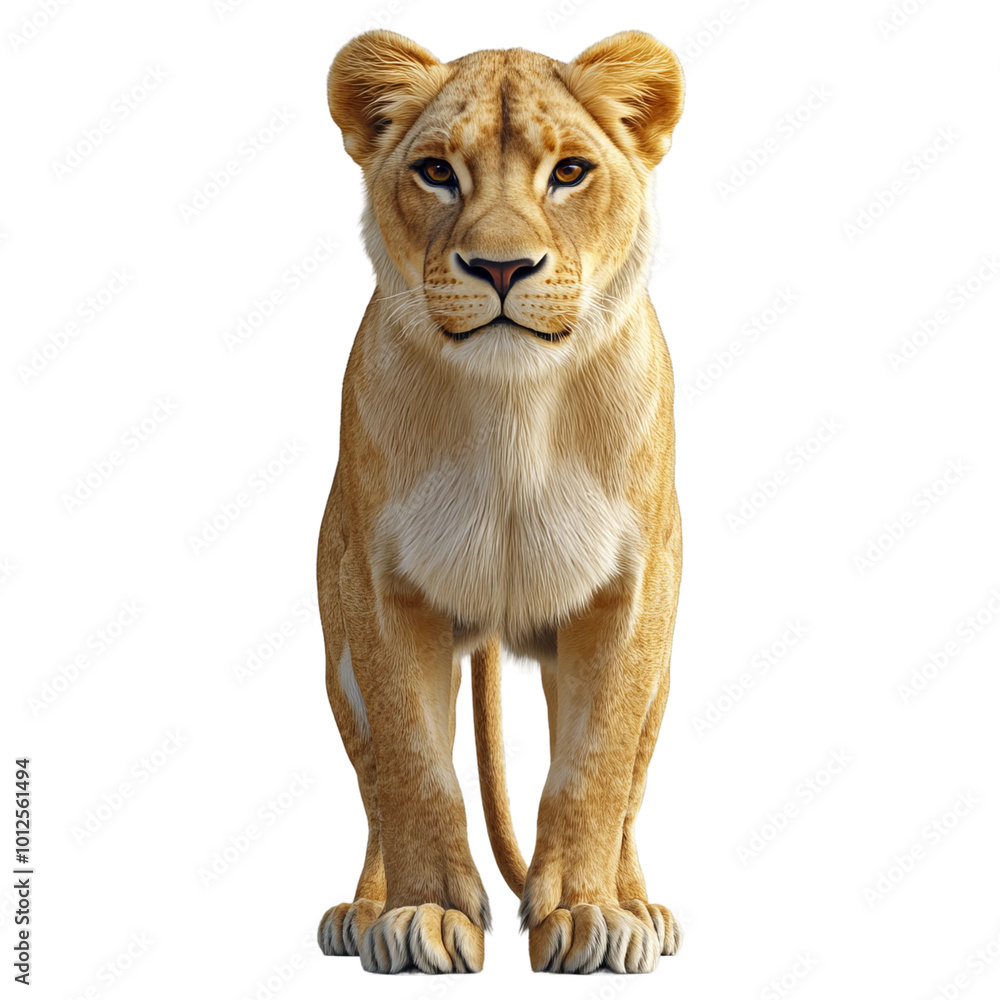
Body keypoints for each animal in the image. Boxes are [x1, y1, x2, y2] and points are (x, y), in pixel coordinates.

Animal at [315, 29, 685, 974]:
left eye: (570, 173)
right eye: (438, 172)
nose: (502, 267)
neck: (514, 407)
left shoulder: (630, 595)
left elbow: (594, 771)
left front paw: (589, 915)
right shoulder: (383, 591)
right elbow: (414, 771)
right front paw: (425, 915)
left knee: (632, 788)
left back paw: (640, 905)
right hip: (340, 661)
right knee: (373, 787)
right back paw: (361, 910)